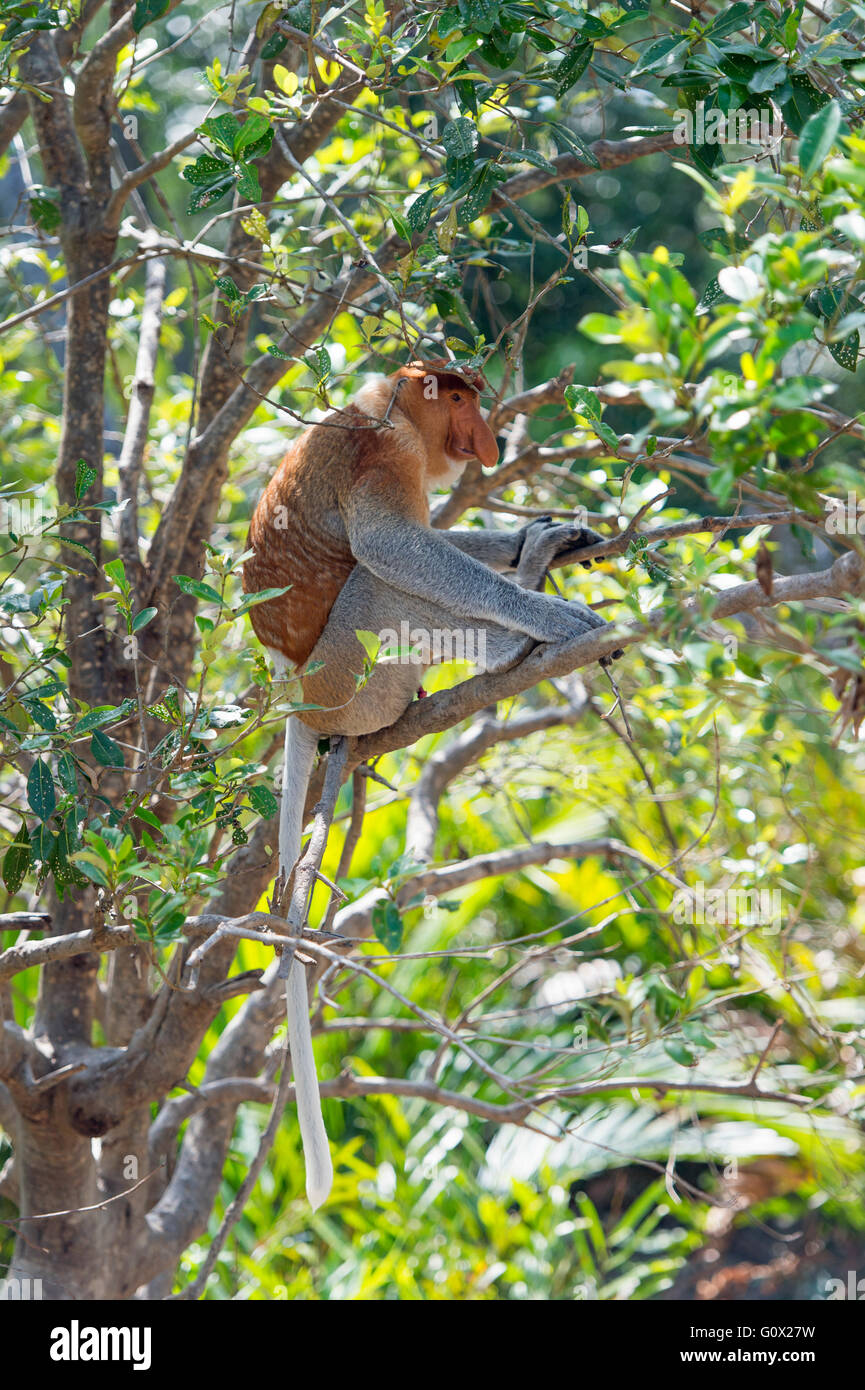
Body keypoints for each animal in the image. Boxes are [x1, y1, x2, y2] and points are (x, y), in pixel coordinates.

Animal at [242, 359, 615, 1209]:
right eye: (458, 399)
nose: (486, 440)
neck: (394, 412)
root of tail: (295, 699)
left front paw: (539, 536)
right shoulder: (383, 455)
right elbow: (397, 546)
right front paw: (549, 605)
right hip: (351, 672)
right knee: (388, 582)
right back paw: (514, 645)